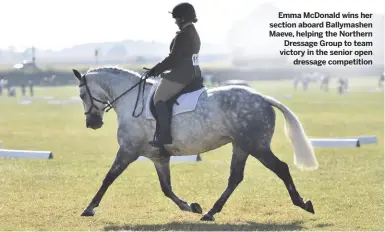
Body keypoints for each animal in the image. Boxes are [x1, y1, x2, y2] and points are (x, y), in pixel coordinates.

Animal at [72, 66, 318, 221]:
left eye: (82, 94)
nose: (92, 123)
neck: (132, 100)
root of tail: (262, 97)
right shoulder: (158, 156)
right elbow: (166, 188)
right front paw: (191, 206)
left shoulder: (128, 151)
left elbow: (108, 178)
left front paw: (89, 208)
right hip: (241, 146)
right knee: (235, 178)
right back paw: (210, 212)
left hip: (256, 146)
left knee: (280, 168)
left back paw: (302, 203)